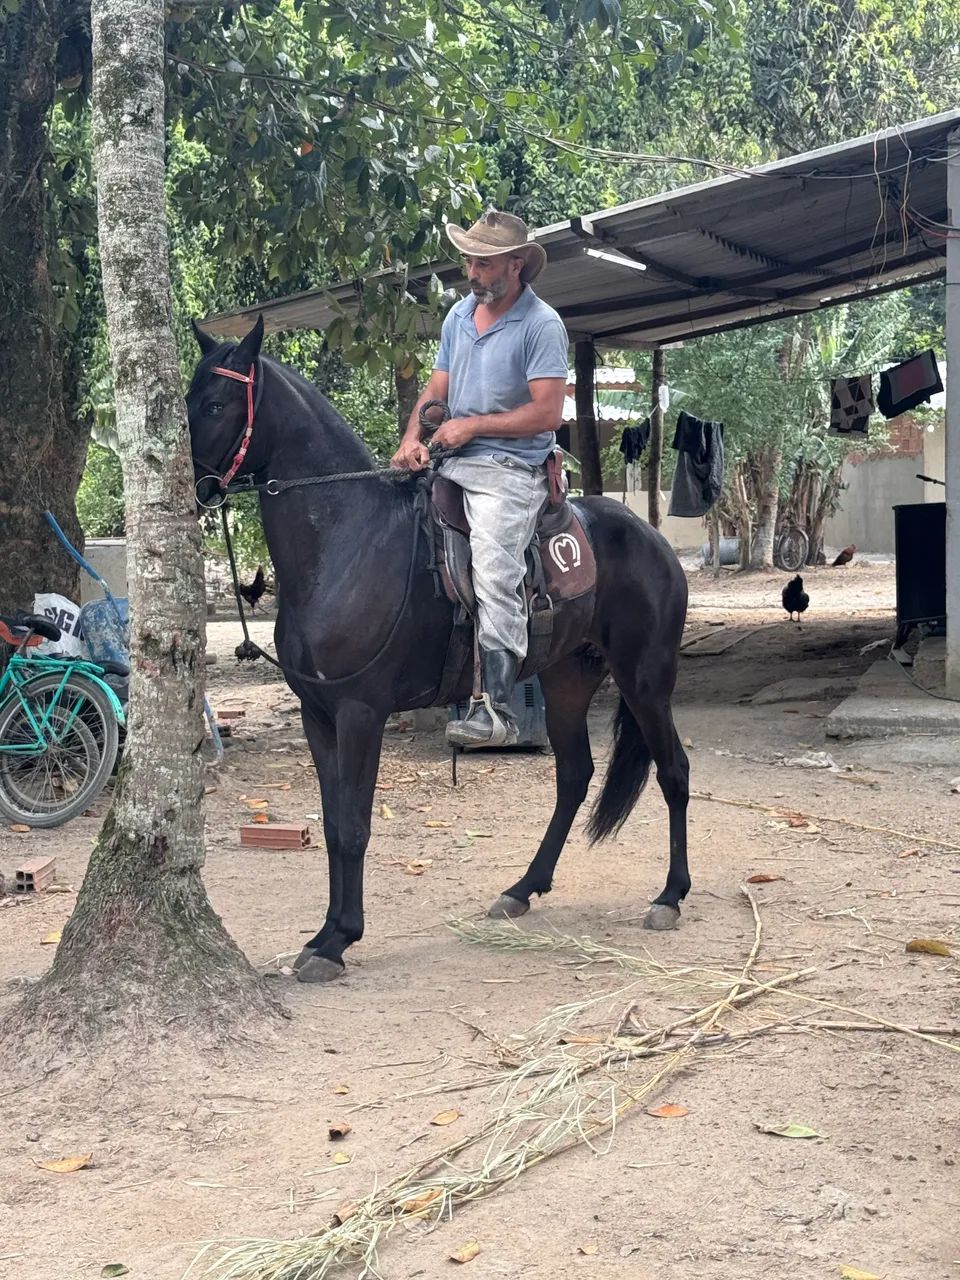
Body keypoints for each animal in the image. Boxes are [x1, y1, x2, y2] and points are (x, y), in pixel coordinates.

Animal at [187, 315, 691, 983]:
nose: (189, 487)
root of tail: (655, 541)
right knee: (574, 776)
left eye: (217, 404)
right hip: (566, 680)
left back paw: (670, 896)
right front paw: (326, 932)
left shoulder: (361, 714)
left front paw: (338, 940)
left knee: (673, 771)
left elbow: (354, 826)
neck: (346, 539)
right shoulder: (318, 716)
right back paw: (522, 888)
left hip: (646, 679)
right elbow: (332, 823)